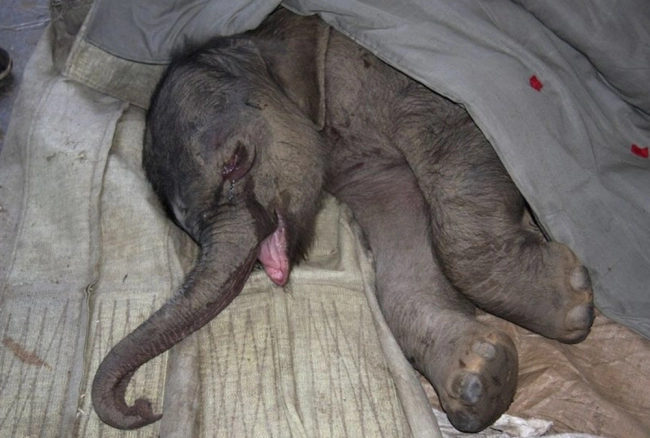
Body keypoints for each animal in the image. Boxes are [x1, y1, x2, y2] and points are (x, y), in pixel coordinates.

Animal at [91, 8, 595, 433]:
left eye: (235, 162)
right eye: (186, 228)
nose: (145, 406)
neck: (261, 39)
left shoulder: (406, 83)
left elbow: (456, 146)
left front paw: (575, 304)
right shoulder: (364, 173)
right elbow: (404, 238)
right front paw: (479, 380)